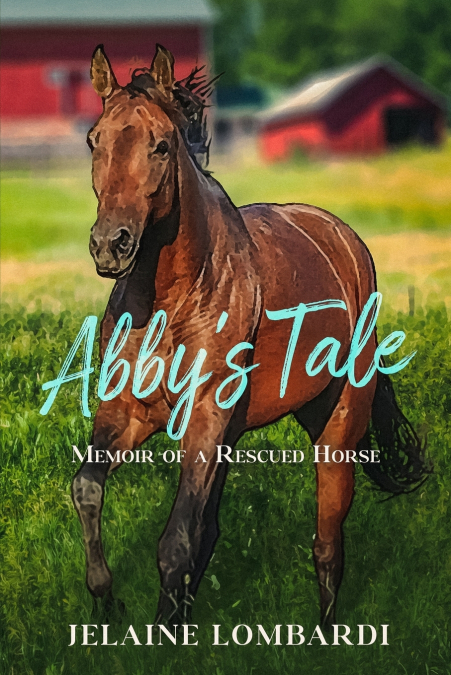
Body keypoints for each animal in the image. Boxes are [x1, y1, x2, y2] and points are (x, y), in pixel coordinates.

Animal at [72, 44, 427, 629]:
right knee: (214, 530)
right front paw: (108, 597)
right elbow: (88, 489)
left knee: (328, 539)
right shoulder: (127, 411)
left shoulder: (204, 416)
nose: (110, 245)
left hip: (337, 423)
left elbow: (175, 540)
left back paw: (324, 631)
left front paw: (160, 630)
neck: (175, 297)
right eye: (93, 140)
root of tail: (346, 243)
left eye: (161, 145)